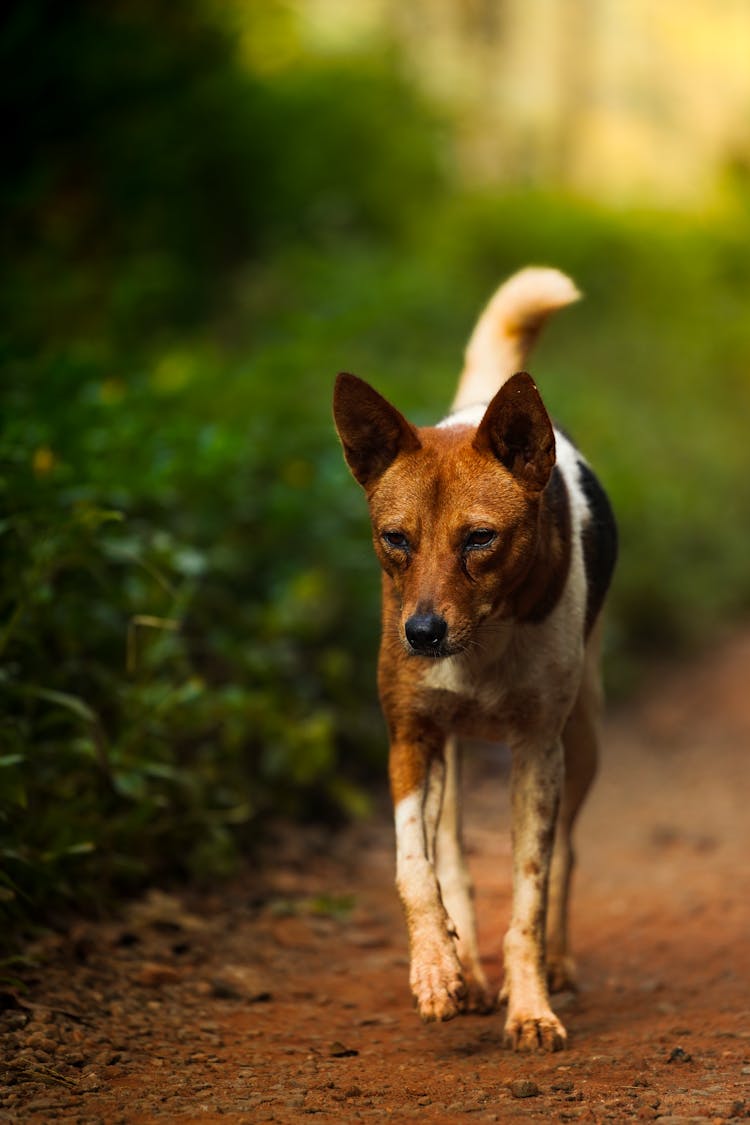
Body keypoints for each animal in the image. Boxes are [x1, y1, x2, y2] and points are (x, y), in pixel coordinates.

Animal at [332, 267, 616, 1048]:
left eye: (480, 539)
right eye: (395, 539)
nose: (422, 633)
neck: (480, 644)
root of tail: (479, 405)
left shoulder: (538, 751)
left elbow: (529, 896)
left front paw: (532, 1008)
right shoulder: (409, 736)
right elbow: (414, 868)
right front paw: (437, 970)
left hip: (584, 734)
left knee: (569, 855)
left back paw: (557, 965)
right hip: (451, 758)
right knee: (452, 856)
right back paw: (464, 970)